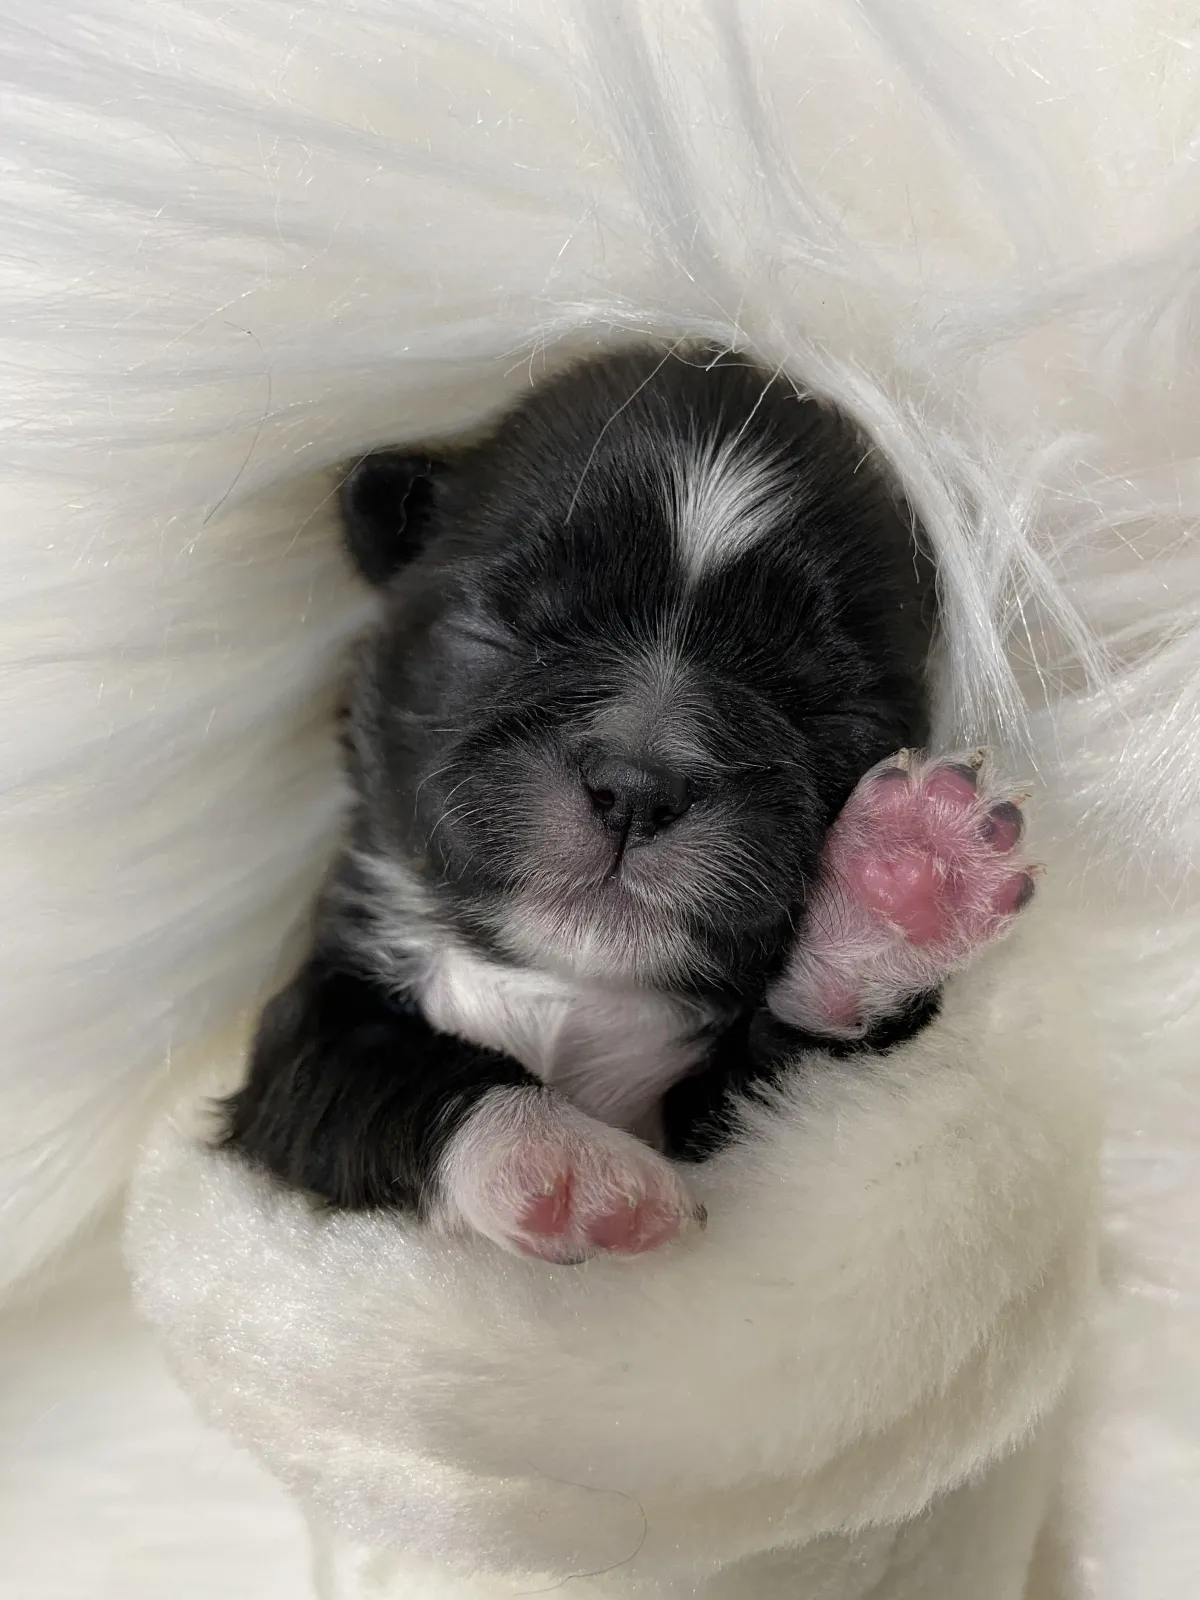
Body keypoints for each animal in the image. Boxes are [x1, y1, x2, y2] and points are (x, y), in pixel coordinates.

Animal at [219, 350, 1036, 1260]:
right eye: (514, 628)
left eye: (820, 699)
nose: (638, 788)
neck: (580, 987)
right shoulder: (304, 1040)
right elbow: (389, 1071)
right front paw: (558, 1157)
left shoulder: (750, 1146)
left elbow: (790, 1089)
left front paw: (897, 893)